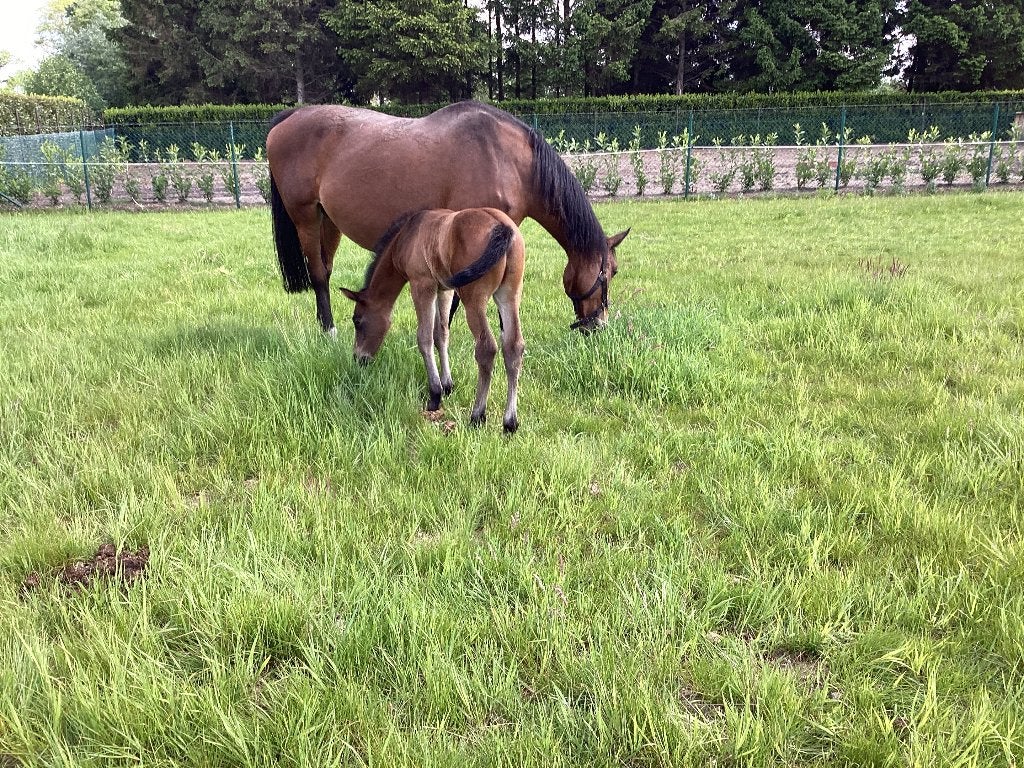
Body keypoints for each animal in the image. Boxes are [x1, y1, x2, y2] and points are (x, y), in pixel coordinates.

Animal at [266, 100, 628, 335]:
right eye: (610, 273)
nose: (598, 327)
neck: (508, 159)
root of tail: (290, 116)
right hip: (306, 218)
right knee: (318, 275)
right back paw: (329, 330)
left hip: (329, 221)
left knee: (325, 270)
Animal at [339, 207, 526, 433]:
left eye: (357, 321)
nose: (359, 358)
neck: (406, 237)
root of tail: (502, 227)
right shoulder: (443, 290)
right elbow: (441, 335)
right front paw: (447, 386)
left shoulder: (422, 285)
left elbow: (425, 338)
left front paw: (435, 395)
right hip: (509, 294)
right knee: (513, 347)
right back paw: (510, 422)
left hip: (474, 297)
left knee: (486, 348)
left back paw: (477, 416)